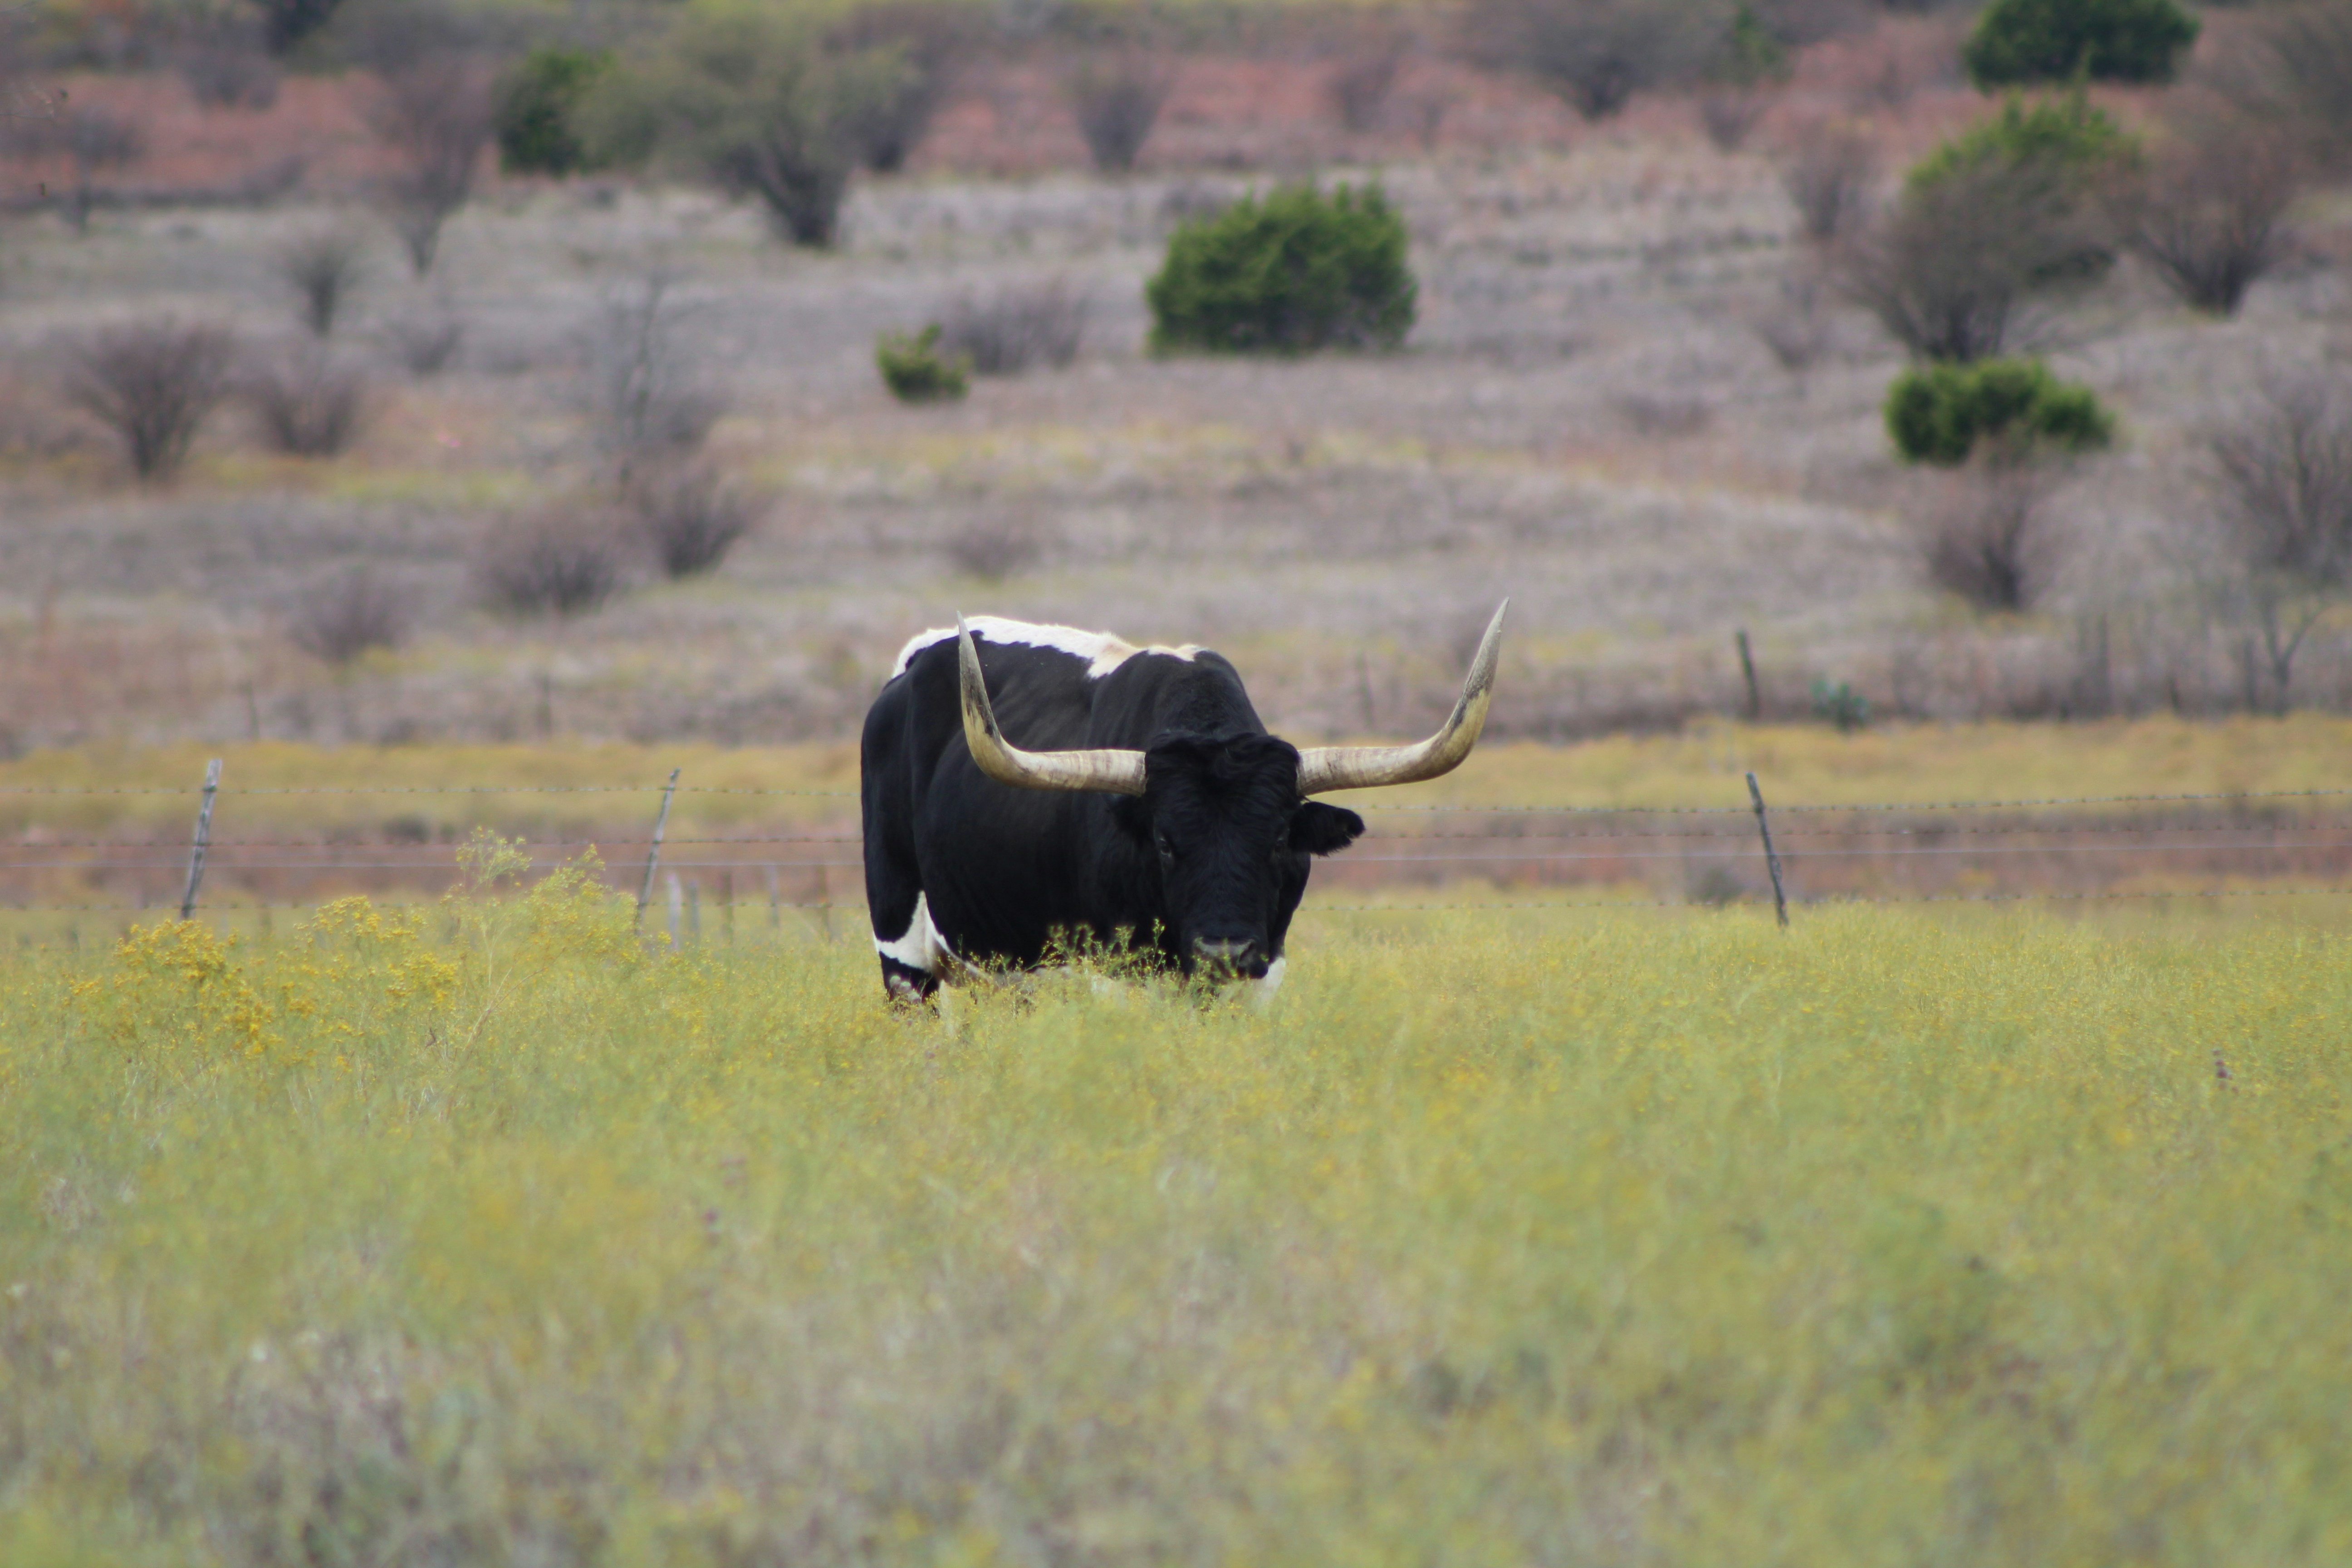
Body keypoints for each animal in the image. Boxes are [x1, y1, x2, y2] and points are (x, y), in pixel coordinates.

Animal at [859, 602, 1507, 1001]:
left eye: (1278, 840)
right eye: (1165, 843)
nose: (1223, 949)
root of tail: (916, 662)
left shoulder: (1262, 974)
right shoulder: (1116, 979)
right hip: (902, 950)